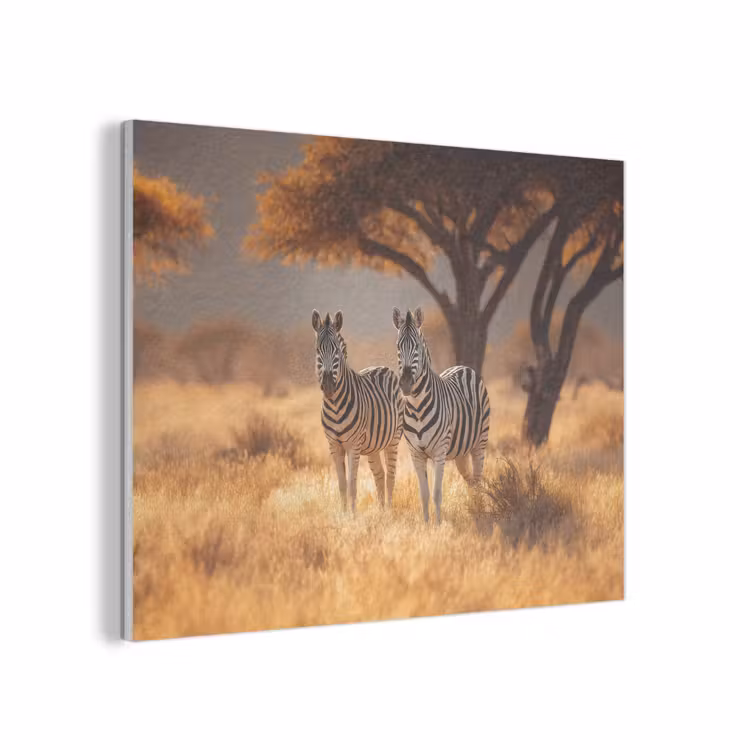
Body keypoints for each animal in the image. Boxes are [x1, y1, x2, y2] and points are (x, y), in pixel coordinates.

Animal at [312, 310, 404, 513]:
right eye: (318, 350)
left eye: (337, 352)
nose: (328, 386)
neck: (335, 405)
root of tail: (382, 367)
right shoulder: (334, 446)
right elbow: (342, 485)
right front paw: (344, 514)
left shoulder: (353, 445)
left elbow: (352, 484)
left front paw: (353, 516)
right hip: (372, 446)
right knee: (380, 474)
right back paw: (381, 511)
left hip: (393, 439)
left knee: (391, 476)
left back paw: (389, 511)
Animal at [392, 307, 490, 523]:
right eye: (398, 346)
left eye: (418, 347)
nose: (405, 384)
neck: (417, 407)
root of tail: (463, 367)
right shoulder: (416, 454)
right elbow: (424, 494)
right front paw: (426, 525)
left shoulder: (439, 452)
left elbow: (437, 494)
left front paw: (438, 525)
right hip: (461, 451)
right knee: (470, 480)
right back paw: (474, 508)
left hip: (479, 442)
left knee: (478, 479)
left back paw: (480, 511)